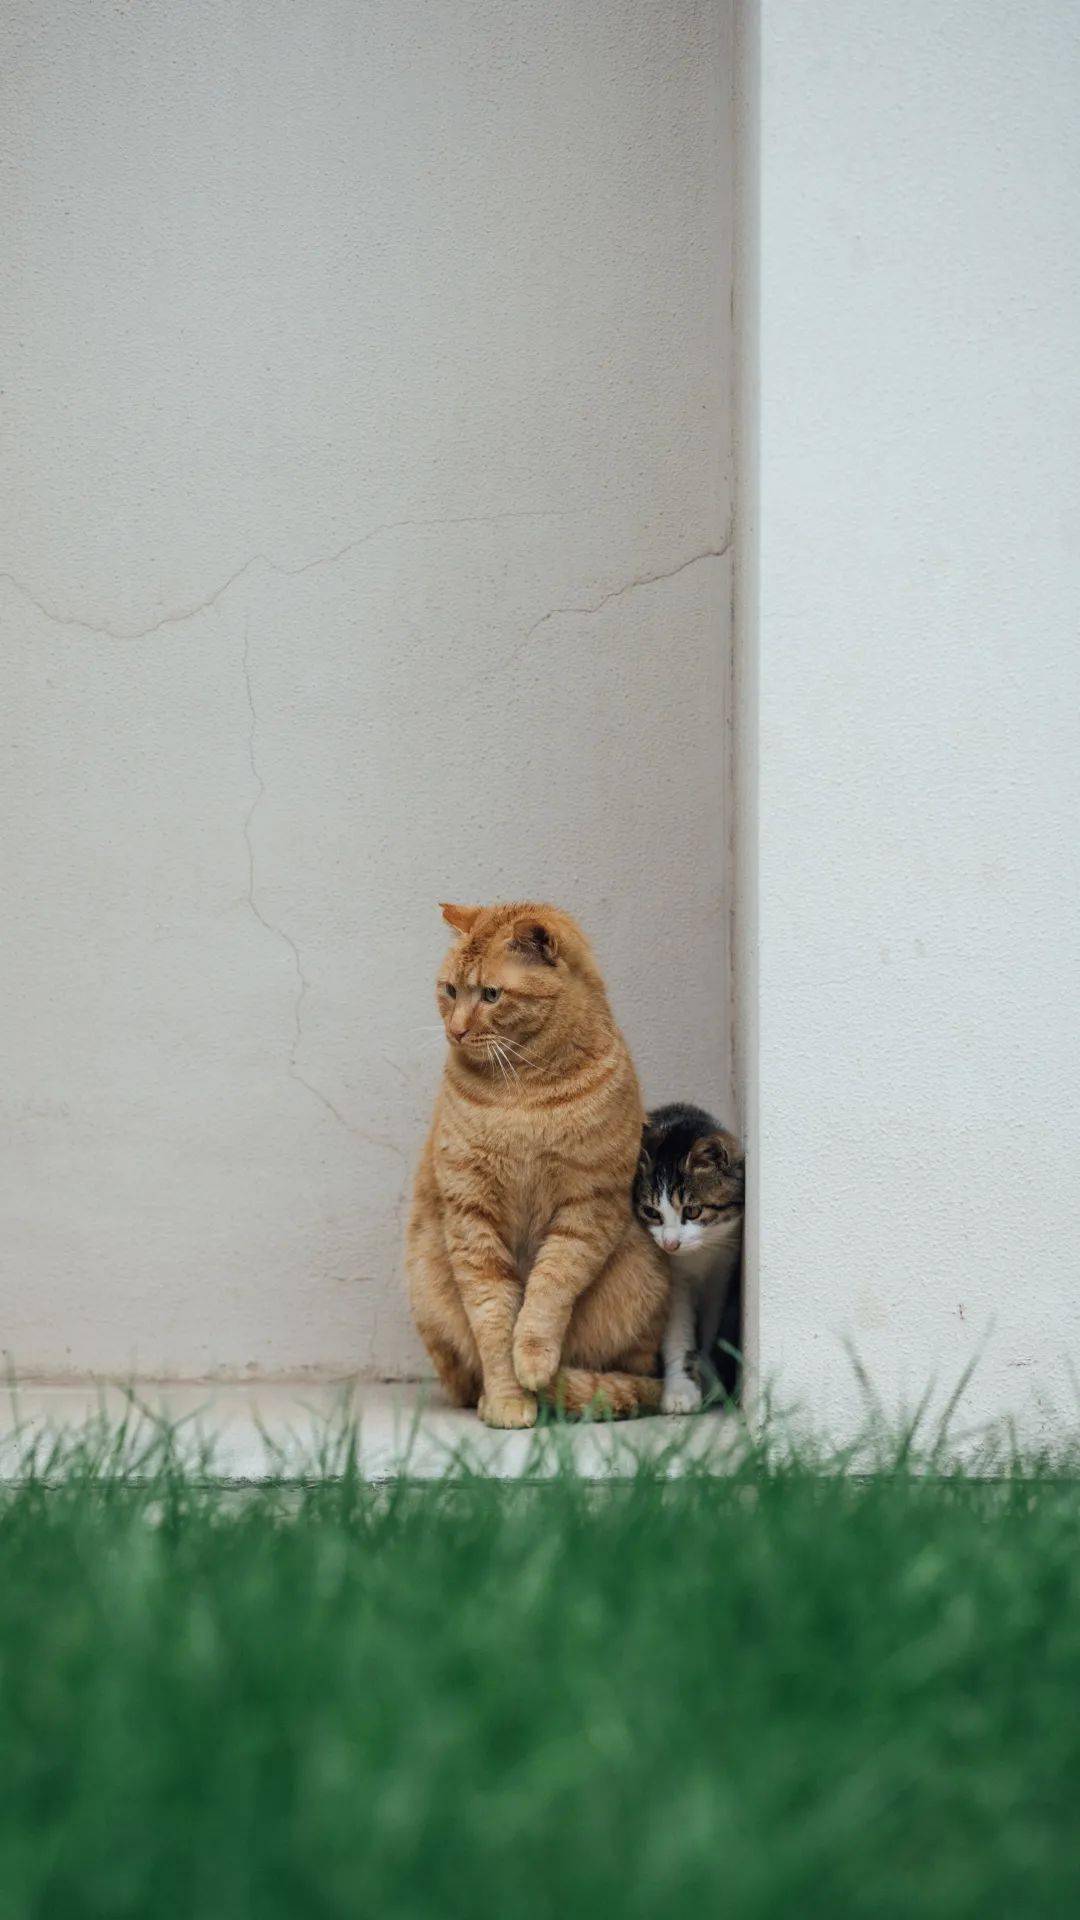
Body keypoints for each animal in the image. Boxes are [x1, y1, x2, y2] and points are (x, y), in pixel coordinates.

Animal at [407, 898, 668, 1428]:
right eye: (449, 990)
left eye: (490, 994)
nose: (455, 1030)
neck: (524, 1090)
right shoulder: (472, 1217)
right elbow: (492, 1320)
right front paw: (508, 1399)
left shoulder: (587, 1209)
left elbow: (547, 1291)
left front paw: (534, 1364)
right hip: (427, 1278)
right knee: (463, 1379)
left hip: (643, 1274)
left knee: (639, 1377)